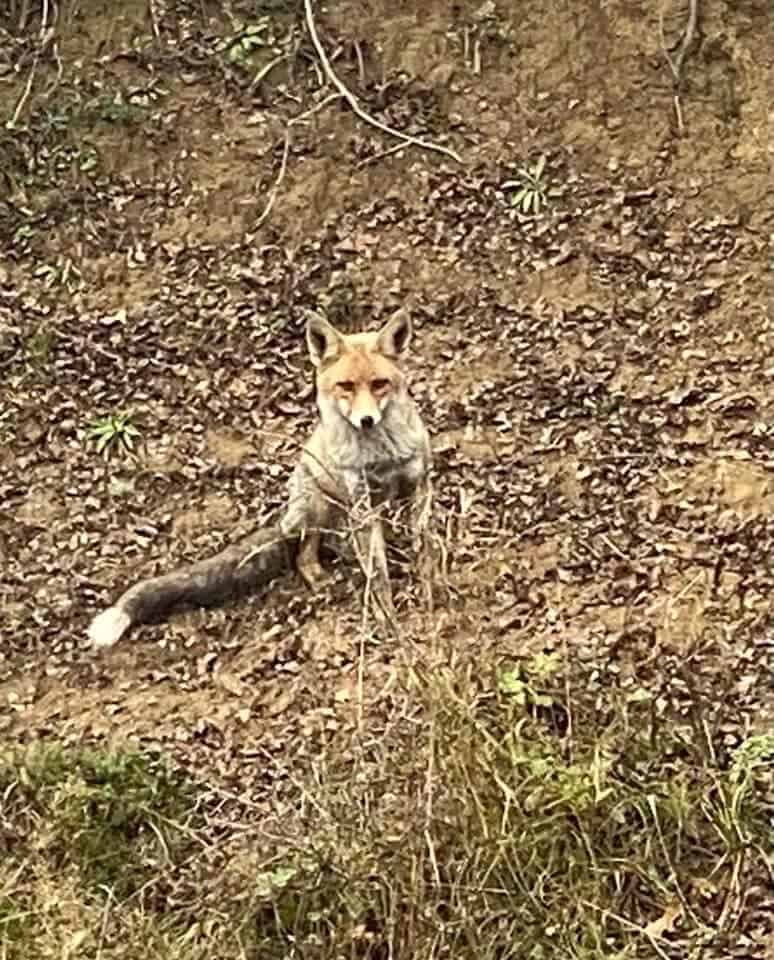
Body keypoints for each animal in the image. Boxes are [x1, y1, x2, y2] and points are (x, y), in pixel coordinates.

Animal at [89, 312, 436, 648]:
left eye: (379, 384)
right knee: (304, 554)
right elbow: (378, 575)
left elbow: (423, 546)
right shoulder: (362, 506)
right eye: (346, 386)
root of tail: (287, 518)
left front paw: (429, 584)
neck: (383, 453)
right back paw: (321, 578)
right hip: (319, 505)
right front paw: (388, 619)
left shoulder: (419, 484)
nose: (366, 420)